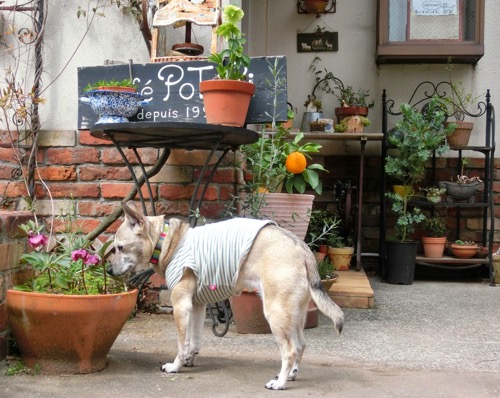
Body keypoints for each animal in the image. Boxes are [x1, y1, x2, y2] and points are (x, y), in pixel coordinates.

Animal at [109, 204, 344, 390]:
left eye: (120, 247)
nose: (109, 270)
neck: (167, 240)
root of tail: (303, 248)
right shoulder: (196, 306)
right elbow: (193, 341)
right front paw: (189, 360)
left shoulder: (181, 306)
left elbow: (182, 343)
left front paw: (175, 366)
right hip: (293, 315)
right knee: (301, 345)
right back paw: (291, 375)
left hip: (276, 314)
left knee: (290, 350)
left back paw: (280, 383)